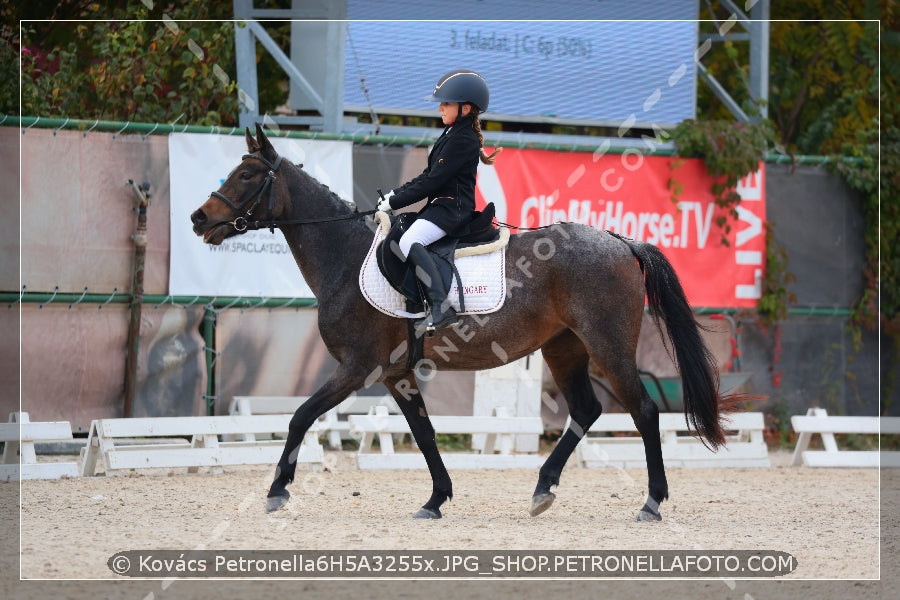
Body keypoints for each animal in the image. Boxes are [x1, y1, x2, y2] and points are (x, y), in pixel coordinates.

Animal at [190, 124, 732, 524]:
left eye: (246, 174)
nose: (198, 219)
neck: (344, 256)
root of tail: (621, 242)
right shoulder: (397, 374)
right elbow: (425, 434)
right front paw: (435, 500)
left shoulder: (358, 367)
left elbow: (300, 416)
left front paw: (277, 491)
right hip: (565, 348)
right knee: (586, 409)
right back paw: (542, 490)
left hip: (608, 346)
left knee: (644, 411)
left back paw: (652, 502)